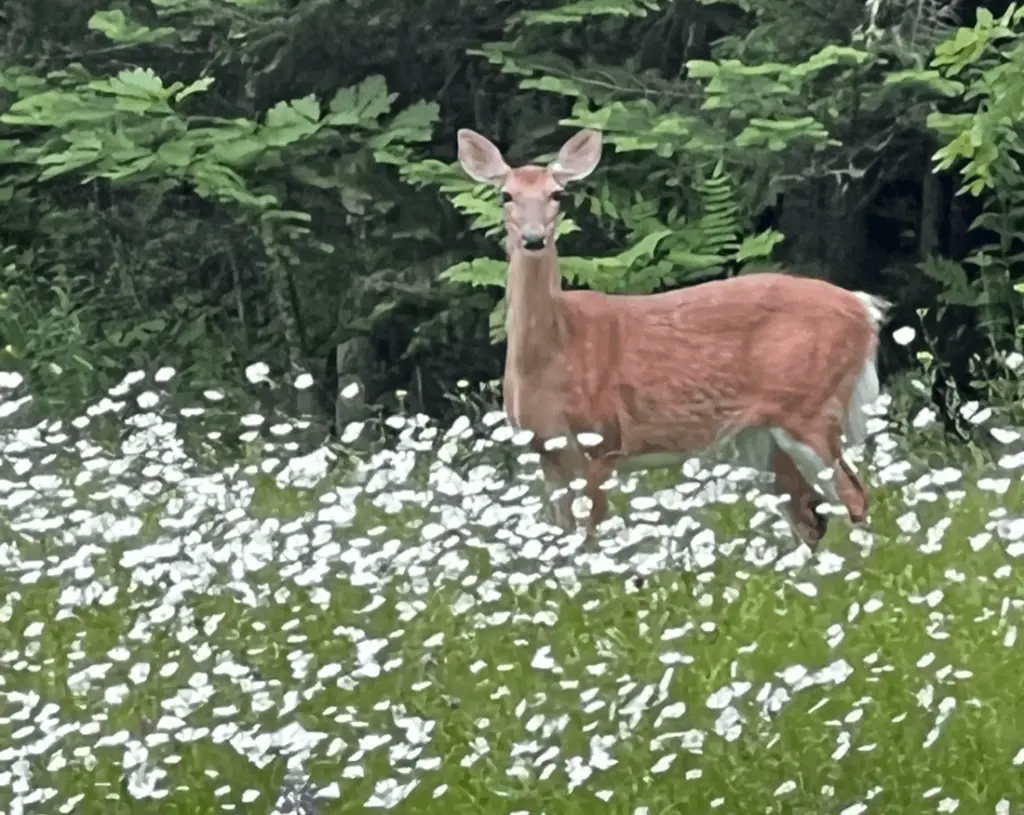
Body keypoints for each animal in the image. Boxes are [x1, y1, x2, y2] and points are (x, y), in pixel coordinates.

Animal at [456, 127, 888, 548]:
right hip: (763, 435)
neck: (554, 353)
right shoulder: (546, 452)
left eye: (557, 194)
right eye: (505, 194)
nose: (533, 238)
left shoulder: (603, 441)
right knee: (808, 514)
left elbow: (591, 538)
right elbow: (561, 539)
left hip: (810, 407)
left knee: (852, 494)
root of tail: (865, 309)